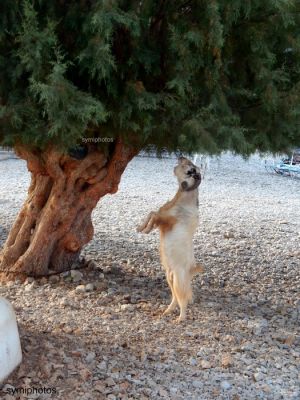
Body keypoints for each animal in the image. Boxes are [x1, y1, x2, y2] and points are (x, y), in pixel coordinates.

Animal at [137, 156, 204, 322]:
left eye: (191, 168)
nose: (180, 156)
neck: (183, 199)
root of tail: (191, 270)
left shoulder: (166, 220)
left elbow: (153, 214)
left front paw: (146, 229)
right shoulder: (162, 219)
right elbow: (151, 213)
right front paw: (142, 228)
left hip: (178, 280)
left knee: (183, 300)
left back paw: (180, 318)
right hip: (170, 277)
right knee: (175, 299)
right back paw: (167, 311)